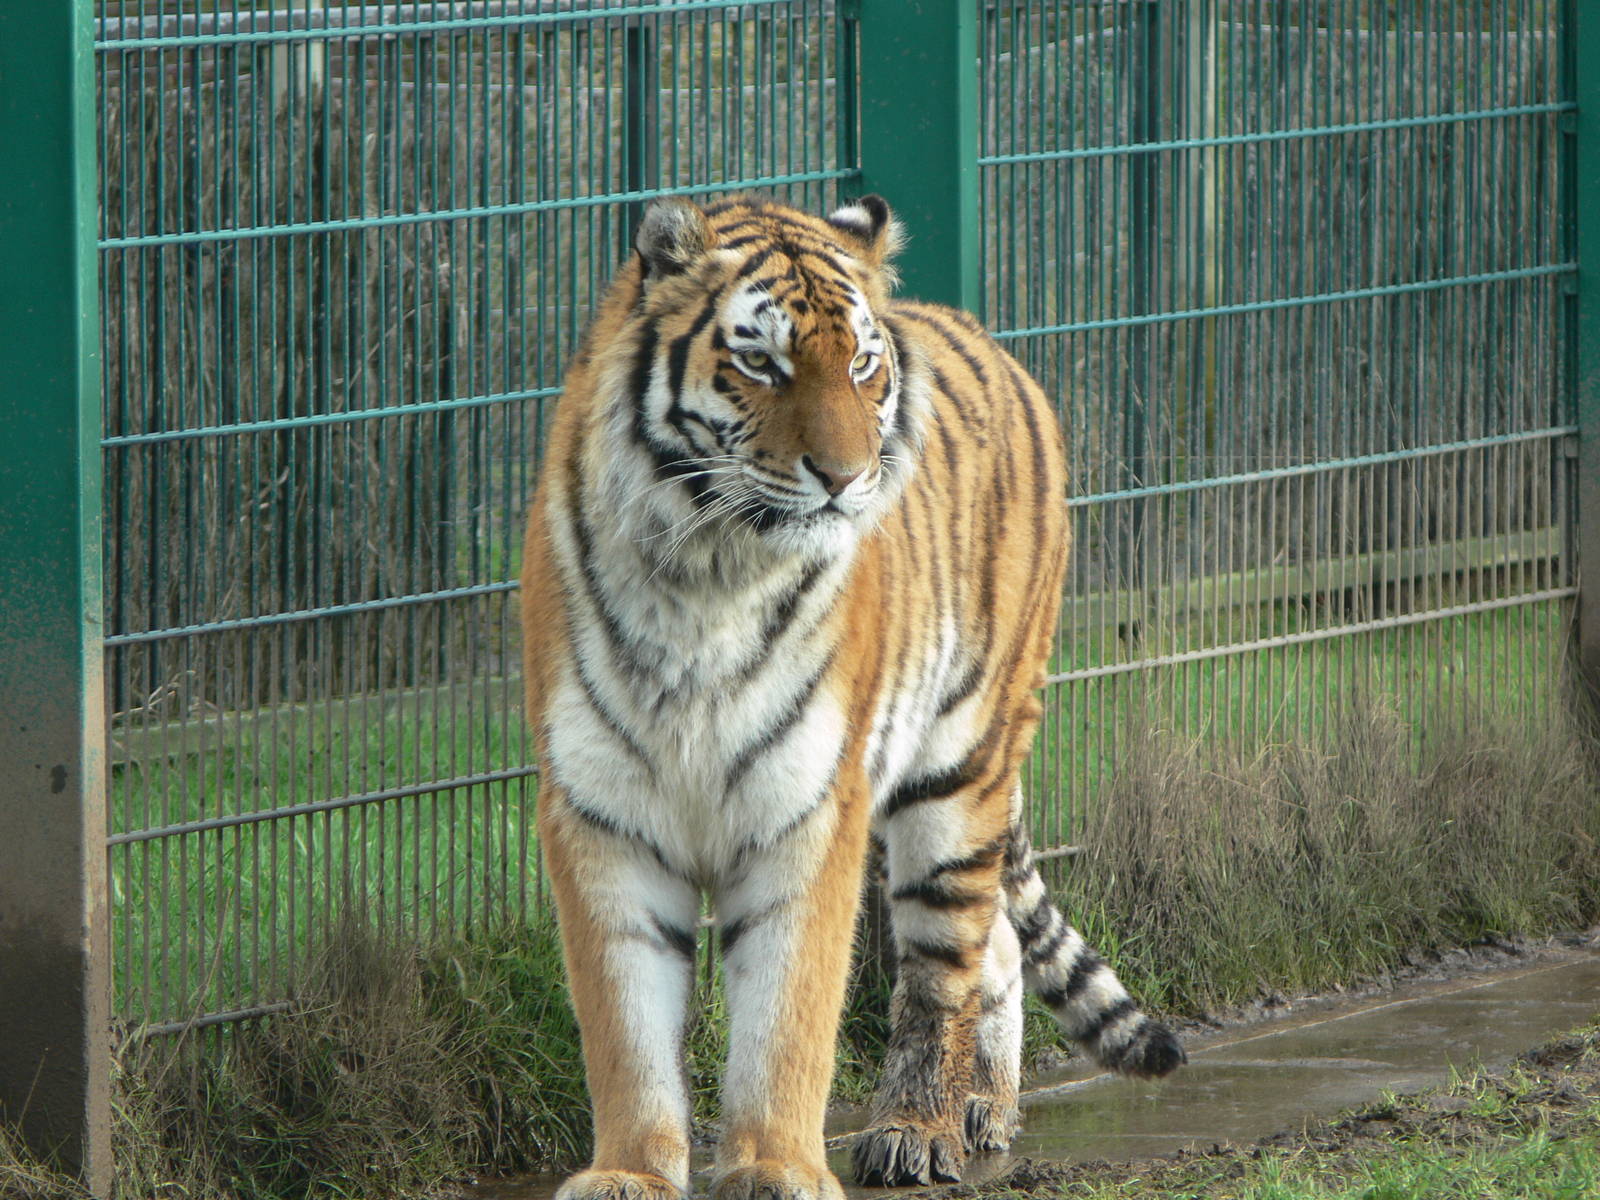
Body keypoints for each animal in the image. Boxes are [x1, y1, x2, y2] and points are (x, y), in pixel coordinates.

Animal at [518, 193, 1184, 1200]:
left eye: (862, 364)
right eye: (762, 361)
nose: (842, 478)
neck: (707, 573)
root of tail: (988, 339)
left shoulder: (807, 805)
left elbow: (786, 1015)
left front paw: (774, 1166)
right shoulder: (602, 811)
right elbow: (623, 1021)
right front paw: (629, 1172)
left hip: (960, 773)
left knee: (951, 958)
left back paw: (921, 1130)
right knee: (997, 941)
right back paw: (983, 1112)